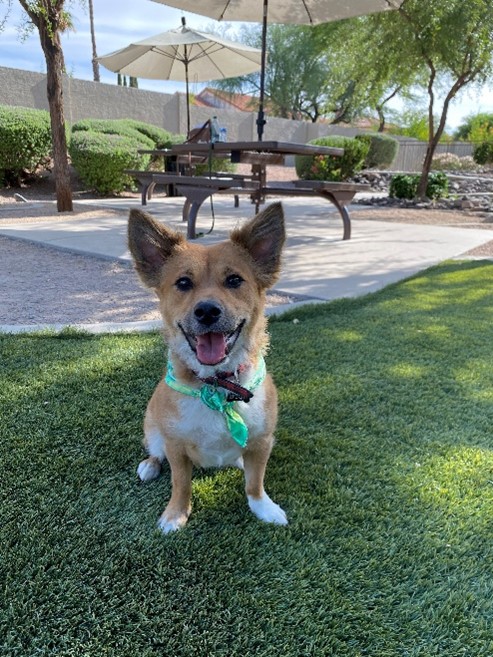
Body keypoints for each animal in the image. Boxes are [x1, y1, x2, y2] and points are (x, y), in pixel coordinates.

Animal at [128, 201, 288, 532]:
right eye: (183, 283)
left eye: (235, 280)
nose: (207, 311)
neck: (216, 385)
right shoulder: (176, 446)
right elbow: (181, 484)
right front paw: (175, 514)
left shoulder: (263, 442)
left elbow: (255, 483)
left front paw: (263, 508)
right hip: (152, 429)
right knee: (154, 450)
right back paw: (149, 465)